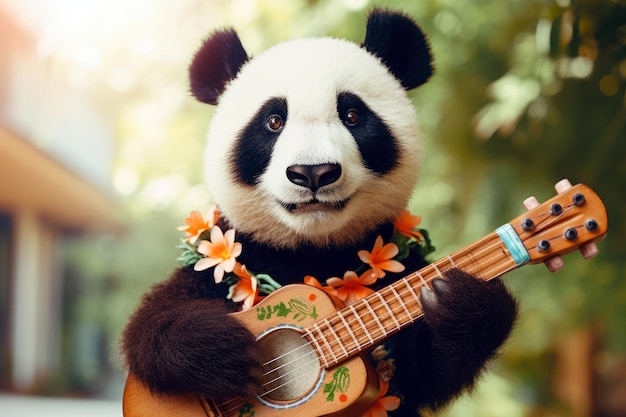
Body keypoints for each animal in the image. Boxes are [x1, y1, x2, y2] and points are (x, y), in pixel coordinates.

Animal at [120, 7, 516, 416]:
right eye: (273, 121)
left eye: (353, 115)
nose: (313, 172)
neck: (312, 248)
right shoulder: (218, 268)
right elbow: (150, 325)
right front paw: (219, 350)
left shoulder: (404, 268)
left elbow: (425, 371)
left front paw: (463, 303)